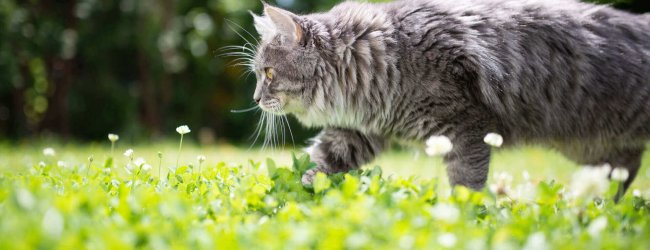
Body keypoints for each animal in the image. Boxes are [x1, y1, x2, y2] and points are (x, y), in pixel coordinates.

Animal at [244, 0, 648, 199]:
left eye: (268, 74)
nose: (256, 98)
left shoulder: (467, 129)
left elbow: (465, 184)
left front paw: (464, 220)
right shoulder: (357, 131)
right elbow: (321, 160)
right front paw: (297, 187)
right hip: (594, 150)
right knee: (620, 175)